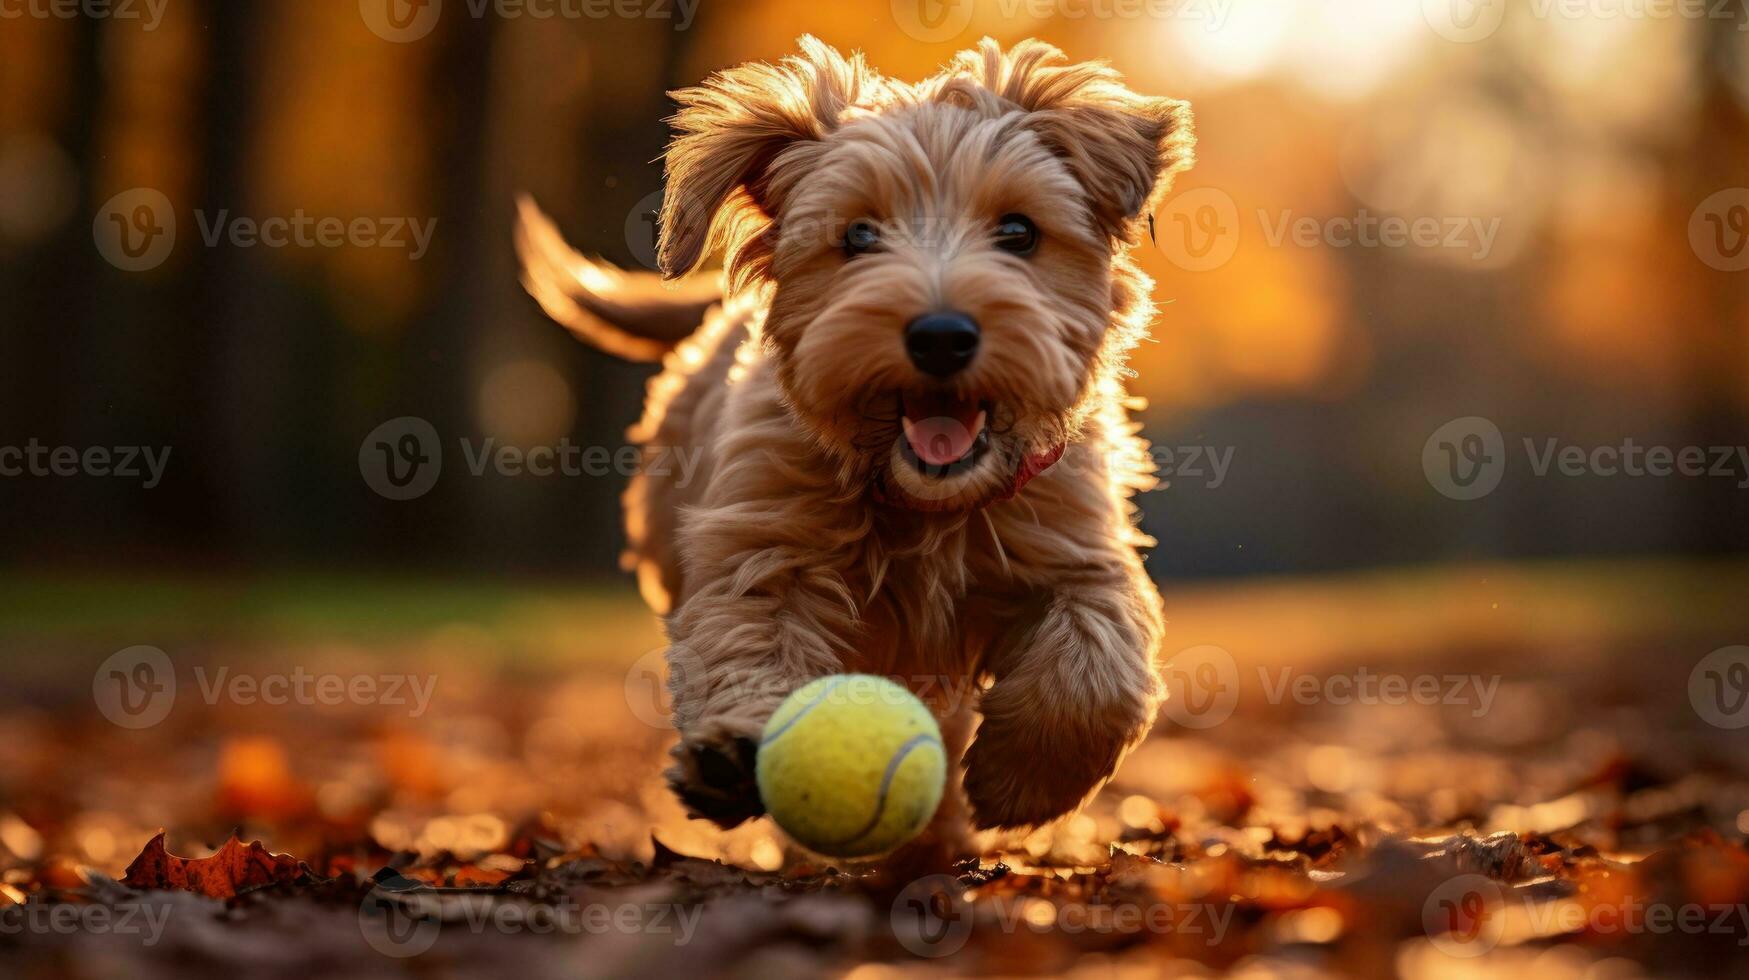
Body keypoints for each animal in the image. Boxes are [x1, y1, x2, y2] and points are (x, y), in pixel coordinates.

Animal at [517, 38, 1196, 847]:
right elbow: (745, 639)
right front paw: (734, 753)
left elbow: (1095, 662)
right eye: (858, 237)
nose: (941, 335)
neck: (927, 505)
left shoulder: (1078, 549)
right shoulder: (759, 549)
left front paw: (1023, 783)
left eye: (1019, 232)